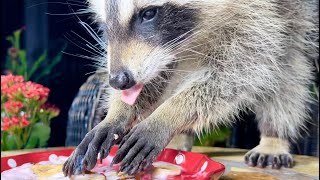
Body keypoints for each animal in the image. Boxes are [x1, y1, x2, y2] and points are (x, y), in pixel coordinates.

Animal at [62, 0, 318, 176]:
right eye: (105, 23)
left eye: (149, 13)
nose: (118, 80)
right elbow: (161, 73)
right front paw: (117, 114)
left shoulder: (268, 14)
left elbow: (244, 69)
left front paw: (168, 114)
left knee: (289, 66)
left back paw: (274, 136)